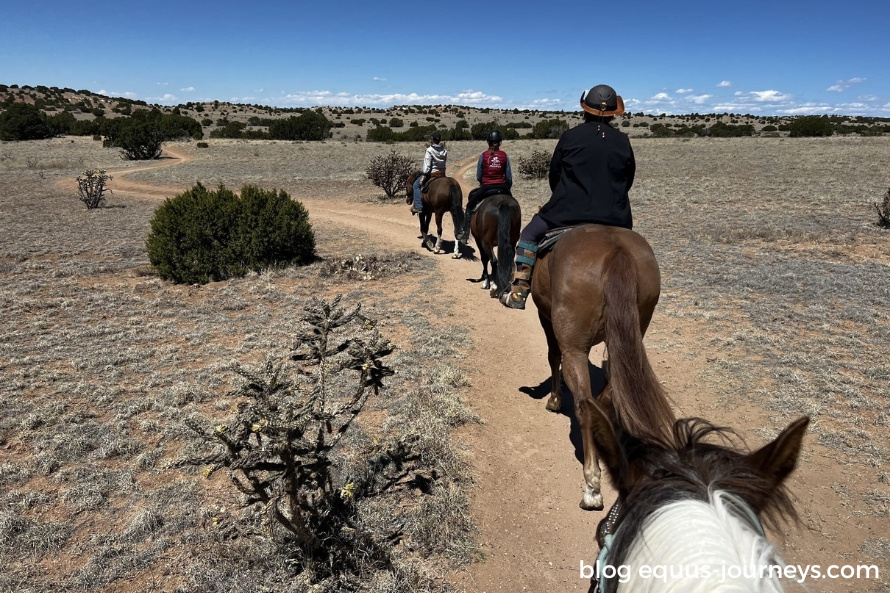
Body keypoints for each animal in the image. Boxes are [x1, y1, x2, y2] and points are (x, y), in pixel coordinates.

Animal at [528, 224, 672, 512]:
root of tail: (616, 250)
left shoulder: (545, 317)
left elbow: (552, 356)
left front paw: (554, 399)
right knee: (606, 397)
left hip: (575, 347)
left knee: (584, 403)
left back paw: (592, 487)